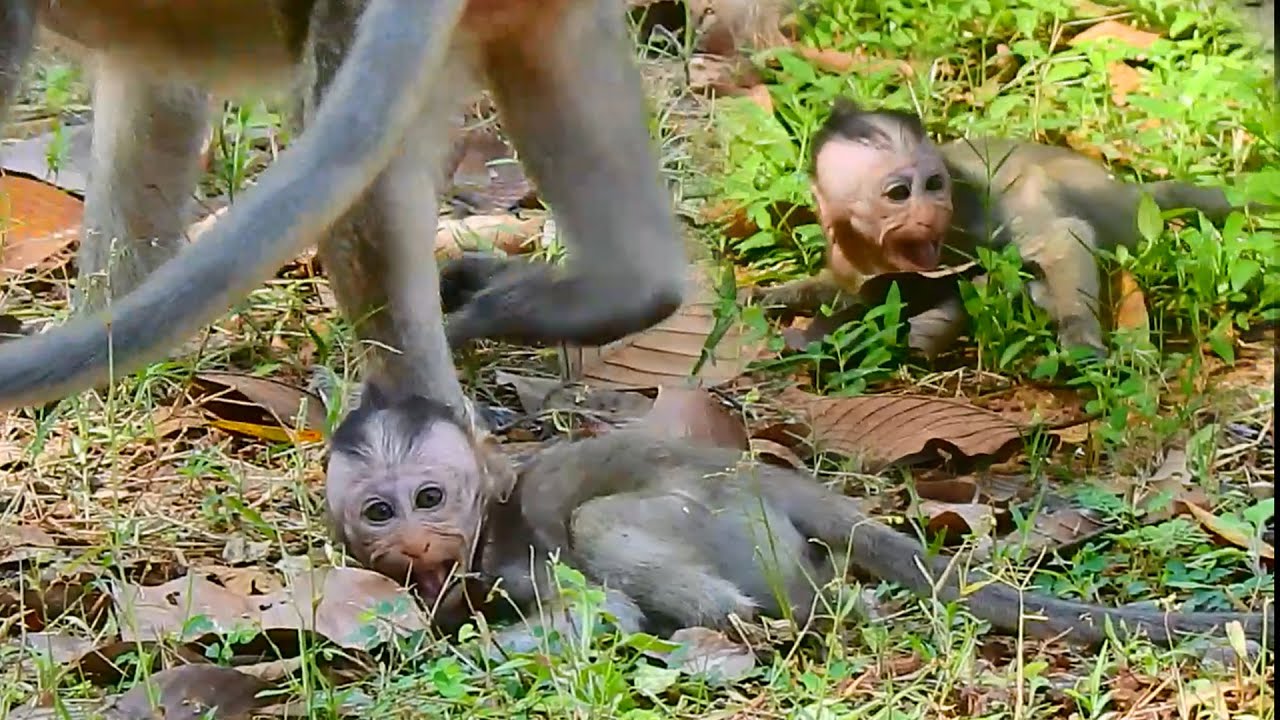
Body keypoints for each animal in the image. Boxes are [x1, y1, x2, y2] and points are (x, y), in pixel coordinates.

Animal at [325, 391, 1273, 652]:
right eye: (378, 511)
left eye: (428, 497)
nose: (413, 538)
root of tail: (752, 472)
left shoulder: (512, 556)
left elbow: (600, 616)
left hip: (723, 522)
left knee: (598, 526)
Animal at [747, 99, 1262, 355]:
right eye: (898, 194)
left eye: (934, 184)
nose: (932, 210)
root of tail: (1131, 193)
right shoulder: (848, 254)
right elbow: (842, 286)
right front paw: (778, 295)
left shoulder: (971, 216)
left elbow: (1059, 239)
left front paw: (1078, 333)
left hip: (1113, 209)